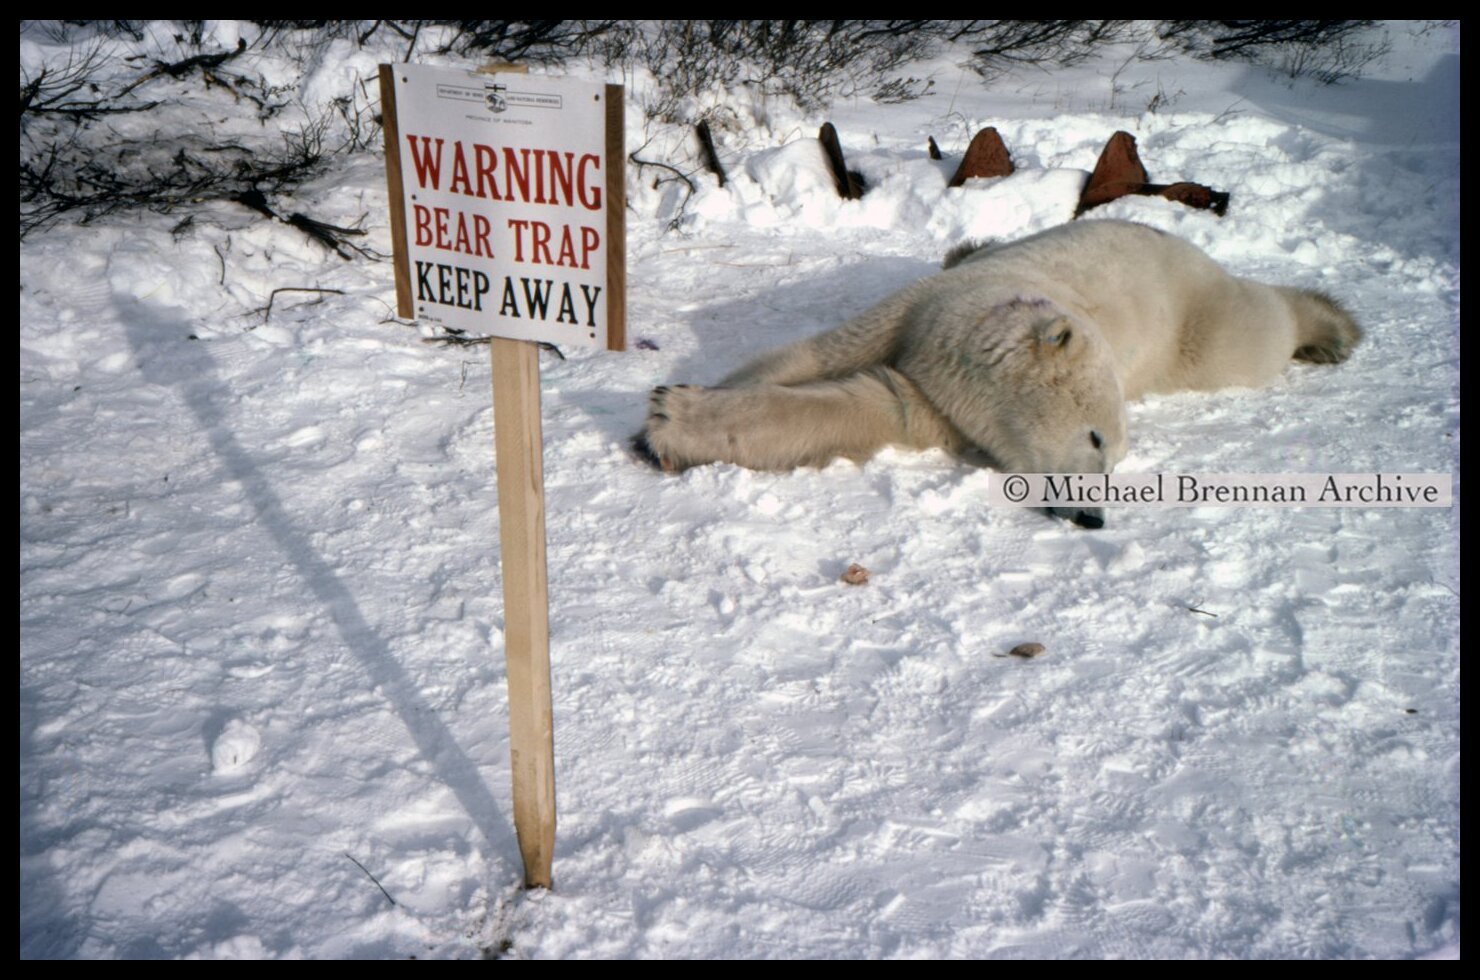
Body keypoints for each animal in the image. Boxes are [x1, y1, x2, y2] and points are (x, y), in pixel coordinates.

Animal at [636, 219, 1361, 527]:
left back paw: (1331, 327)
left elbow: (875, 402)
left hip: (1190, 332)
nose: (1091, 516)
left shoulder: (943, 392)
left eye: (1117, 460)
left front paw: (671, 419)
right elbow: (816, 353)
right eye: (1097, 440)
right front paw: (671, 414)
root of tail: (1190, 247)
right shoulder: (915, 314)